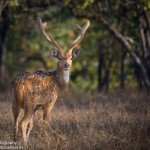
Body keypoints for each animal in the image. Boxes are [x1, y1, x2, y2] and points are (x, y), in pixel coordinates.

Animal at [10, 17, 90, 145]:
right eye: (59, 58)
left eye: (71, 58)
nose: (66, 65)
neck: (58, 84)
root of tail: (18, 83)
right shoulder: (49, 103)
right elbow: (45, 124)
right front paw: (45, 141)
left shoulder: (36, 108)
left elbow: (31, 125)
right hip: (29, 103)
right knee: (22, 123)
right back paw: (25, 144)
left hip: (14, 102)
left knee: (15, 123)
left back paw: (16, 142)